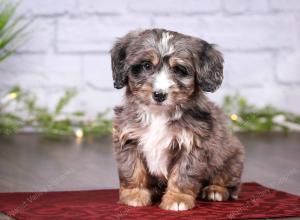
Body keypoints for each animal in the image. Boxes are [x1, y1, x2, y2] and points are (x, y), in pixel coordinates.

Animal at [110, 28, 244, 211]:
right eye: (146, 65)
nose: (159, 95)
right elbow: (132, 169)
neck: (158, 114)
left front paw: (177, 198)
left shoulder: (192, 144)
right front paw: (134, 194)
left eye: (179, 70)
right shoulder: (129, 139)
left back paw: (215, 190)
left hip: (232, 160)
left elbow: (183, 174)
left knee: (228, 182)